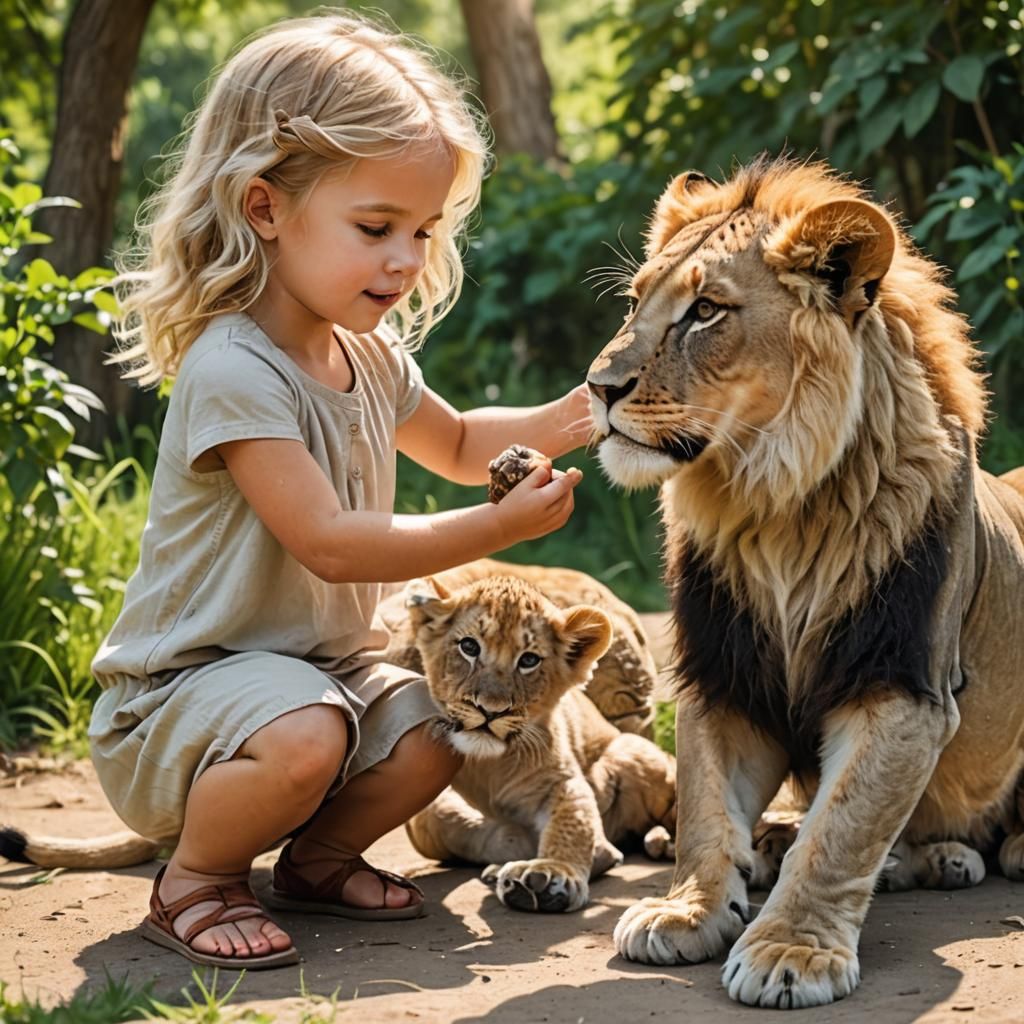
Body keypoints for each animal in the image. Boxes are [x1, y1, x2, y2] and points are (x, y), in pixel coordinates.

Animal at [585, 156, 1024, 1007]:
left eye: (705, 311)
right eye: (634, 302)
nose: (597, 387)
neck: (773, 509)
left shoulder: (903, 688)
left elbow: (841, 830)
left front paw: (792, 949)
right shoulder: (720, 675)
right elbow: (704, 811)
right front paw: (688, 909)